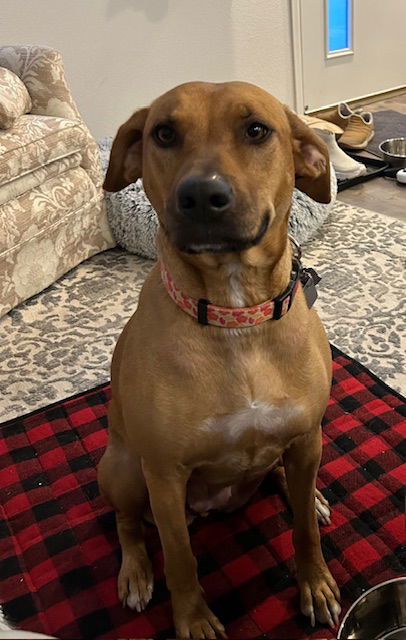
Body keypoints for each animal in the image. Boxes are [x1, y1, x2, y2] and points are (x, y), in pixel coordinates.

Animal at [100, 82, 340, 636]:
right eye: (164, 133)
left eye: (256, 130)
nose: (201, 196)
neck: (236, 316)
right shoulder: (164, 475)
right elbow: (180, 557)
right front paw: (192, 617)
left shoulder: (306, 435)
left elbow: (302, 531)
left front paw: (315, 583)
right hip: (123, 467)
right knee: (128, 523)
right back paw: (135, 572)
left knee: (288, 479)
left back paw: (312, 496)